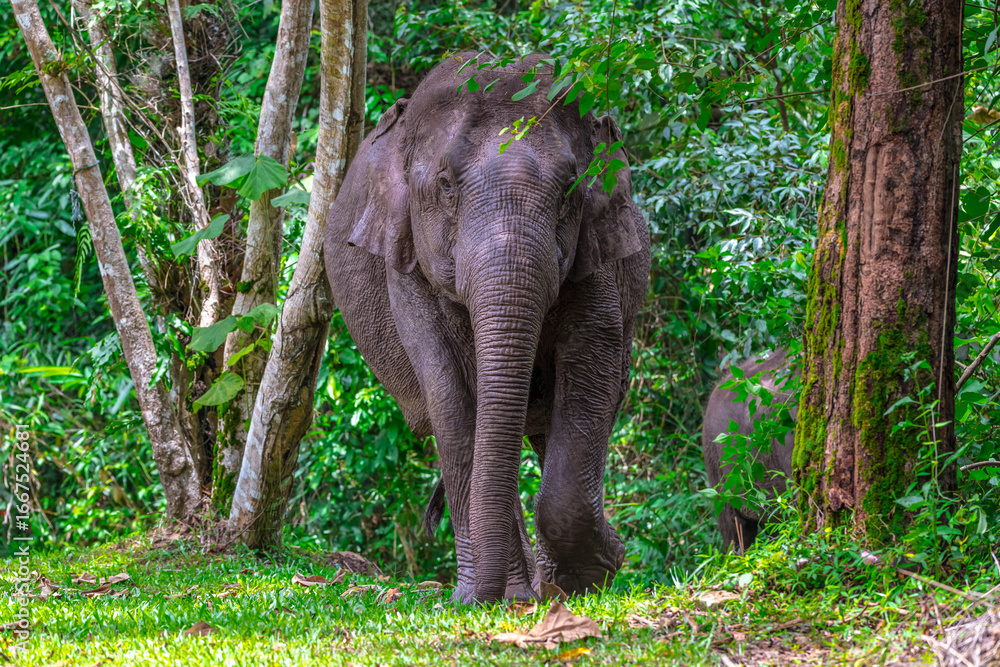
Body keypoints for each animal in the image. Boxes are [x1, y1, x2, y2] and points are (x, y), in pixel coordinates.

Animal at [323, 53, 651, 603]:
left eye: (570, 192)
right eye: (446, 186)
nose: (493, 597)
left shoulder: (596, 256)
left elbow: (593, 363)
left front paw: (596, 568)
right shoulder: (405, 263)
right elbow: (449, 392)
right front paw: (493, 597)